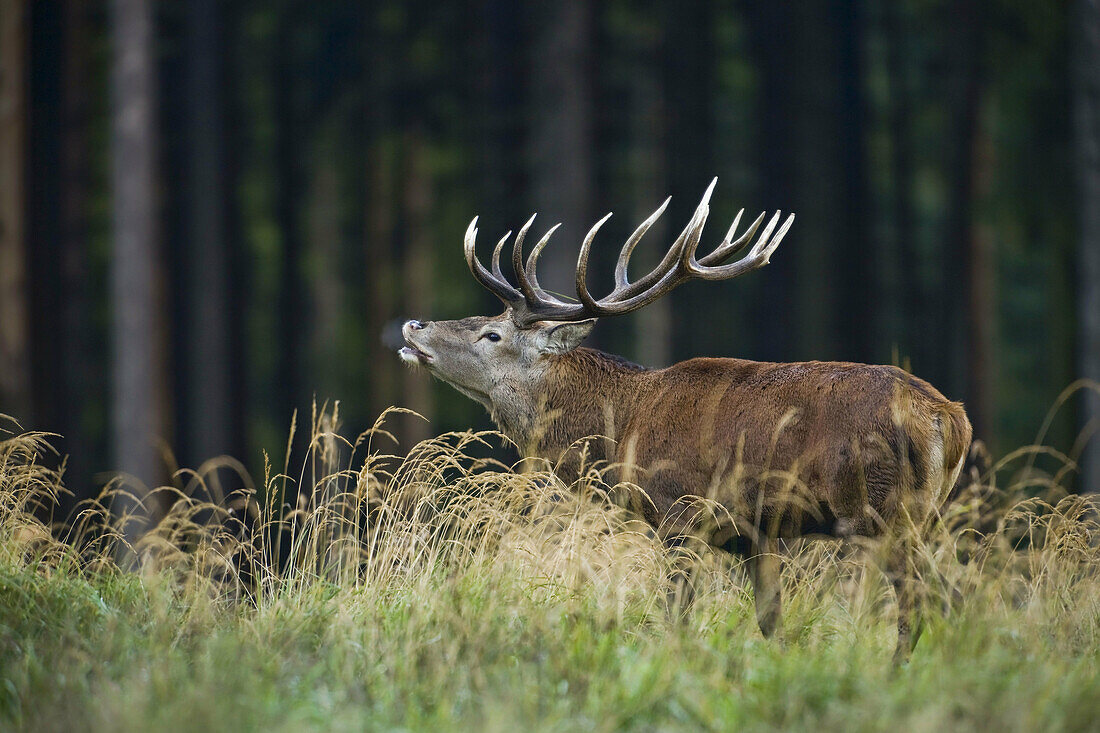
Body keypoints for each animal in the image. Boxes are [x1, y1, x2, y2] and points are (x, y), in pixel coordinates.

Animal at [398, 179, 972, 660]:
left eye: (492, 334)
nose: (412, 324)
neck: (621, 434)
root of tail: (948, 418)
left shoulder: (681, 513)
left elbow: (675, 617)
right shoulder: (759, 534)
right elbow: (771, 622)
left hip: (883, 510)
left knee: (924, 602)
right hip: (924, 513)